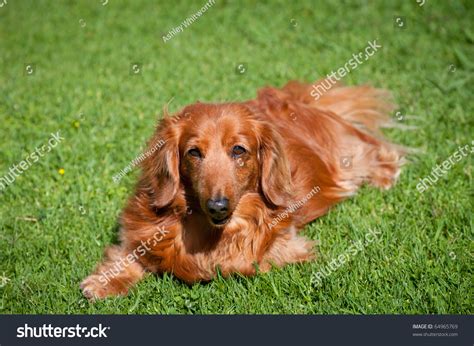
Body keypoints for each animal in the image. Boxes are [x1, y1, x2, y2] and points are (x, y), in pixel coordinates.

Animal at [80, 79, 404, 298]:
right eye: (193, 152)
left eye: (238, 150)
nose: (217, 207)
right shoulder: (141, 229)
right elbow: (132, 251)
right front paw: (104, 282)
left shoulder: (280, 246)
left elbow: (237, 262)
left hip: (348, 159)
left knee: (377, 150)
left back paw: (386, 175)